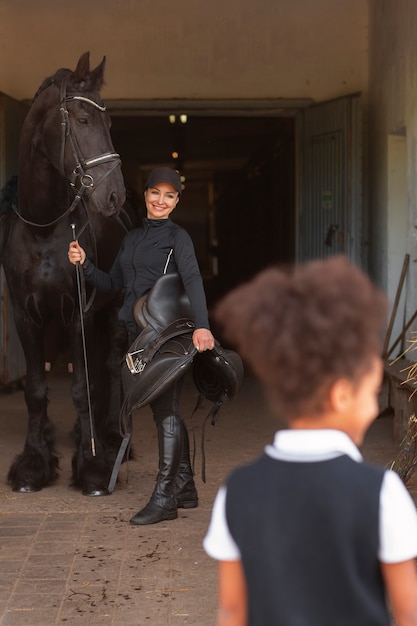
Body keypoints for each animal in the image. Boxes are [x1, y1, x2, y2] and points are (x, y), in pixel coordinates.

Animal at [0, 52, 138, 492]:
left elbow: (80, 387)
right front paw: (33, 463)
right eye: (81, 119)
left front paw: (93, 466)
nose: (113, 195)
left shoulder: (79, 311)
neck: (43, 226)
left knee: (108, 367)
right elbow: (35, 389)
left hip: (110, 313)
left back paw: (110, 437)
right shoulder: (26, 316)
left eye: (109, 123)